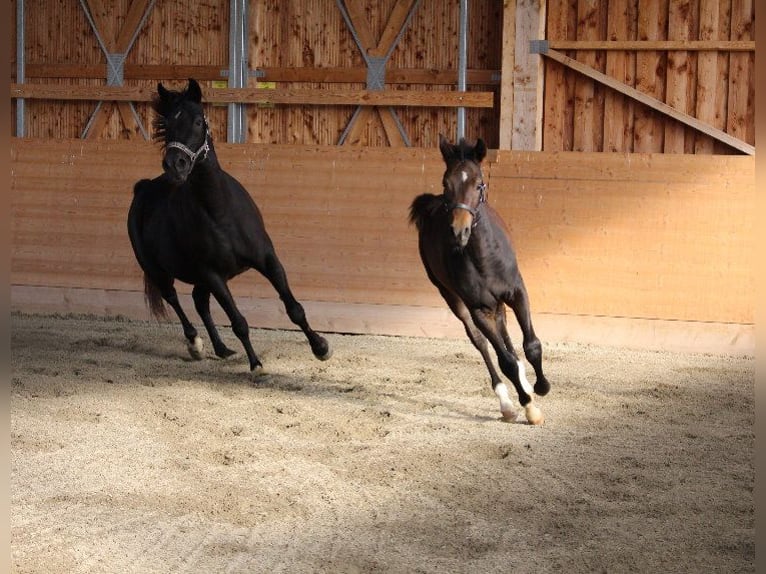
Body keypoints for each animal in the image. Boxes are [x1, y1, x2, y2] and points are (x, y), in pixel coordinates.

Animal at [127, 78, 331, 377]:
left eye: (198, 121)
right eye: (169, 124)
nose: (175, 165)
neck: (220, 211)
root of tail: (142, 189)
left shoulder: (267, 260)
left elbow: (294, 308)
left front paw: (320, 347)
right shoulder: (212, 274)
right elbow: (239, 322)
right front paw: (256, 364)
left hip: (197, 279)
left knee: (200, 302)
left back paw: (222, 349)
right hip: (158, 272)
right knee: (175, 299)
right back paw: (196, 344)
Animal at [409, 135, 550, 424]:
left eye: (478, 184)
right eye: (446, 183)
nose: (459, 231)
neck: (484, 257)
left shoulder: (517, 292)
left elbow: (531, 345)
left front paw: (540, 387)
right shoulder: (477, 309)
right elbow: (503, 360)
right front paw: (527, 405)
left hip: (498, 303)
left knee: (505, 332)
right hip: (452, 298)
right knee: (483, 343)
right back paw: (507, 403)